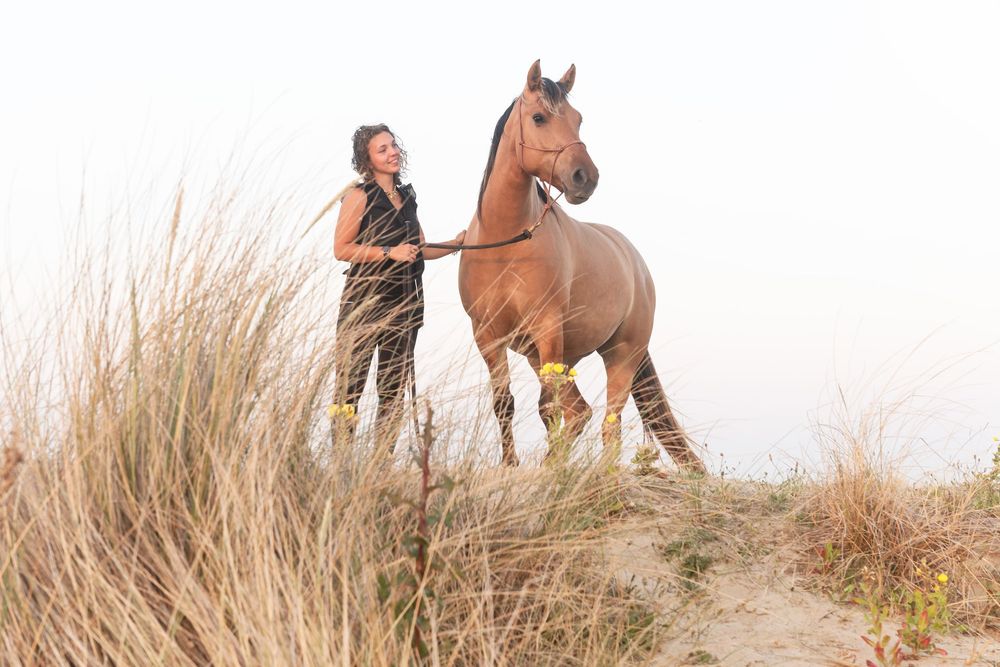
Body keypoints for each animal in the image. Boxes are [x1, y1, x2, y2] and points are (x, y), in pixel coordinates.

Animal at [458, 60, 707, 473]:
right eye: (539, 117)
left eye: (578, 119)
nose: (585, 178)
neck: (507, 242)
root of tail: (636, 263)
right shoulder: (488, 337)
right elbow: (505, 404)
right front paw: (511, 467)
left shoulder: (547, 329)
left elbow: (547, 410)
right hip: (544, 356)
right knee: (580, 412)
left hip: (620, 355)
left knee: (607, 421)